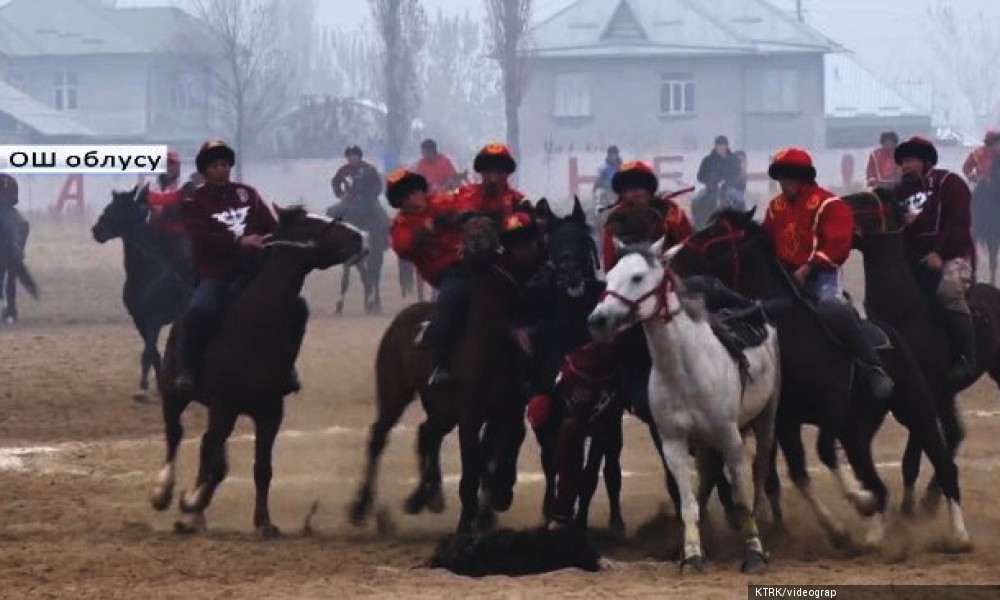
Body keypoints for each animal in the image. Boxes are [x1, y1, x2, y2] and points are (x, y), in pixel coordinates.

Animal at [94, 186, 195, 404]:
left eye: (120, 208)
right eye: (108, 206)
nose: (97, 230)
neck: (149, 272)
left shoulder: (154, 319)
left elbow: (147, 353)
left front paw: (143, 388)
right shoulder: (139, 320)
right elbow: (154, 353)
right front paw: (158, 386)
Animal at [148, 206, 368, 536]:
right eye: (308, 224)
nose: (360, 237)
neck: (255, 325)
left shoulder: (270, 412)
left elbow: (261, 468)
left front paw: (263, 522)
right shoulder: (224, 406)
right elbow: (215, 464)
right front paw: (190, 501)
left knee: (205, 447)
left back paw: (196, 516)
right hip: (176, 396)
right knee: (176, 436)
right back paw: (165, 494)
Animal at [350, 216, 532, 536]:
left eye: (490, 224)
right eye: (468, 226)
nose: (474, 243)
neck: (489, 346)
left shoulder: (504, 413)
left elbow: (494, 459)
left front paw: (491, 506)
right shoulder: (470, 416)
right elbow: (474, 469)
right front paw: (470, 521)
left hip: (442, 409)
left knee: (427, 433)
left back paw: (424, 496)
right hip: (394, 392)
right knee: (379, 436)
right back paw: (363, 507)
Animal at [584, 239, 780, 572]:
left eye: (637, 277)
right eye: (608, 276)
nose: (598, 320)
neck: (685, 369)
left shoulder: (730, 439)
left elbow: (741, 498)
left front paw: (754, 553)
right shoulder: (673, 443)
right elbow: (687, 502)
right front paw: (692, 554)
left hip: (767, 416)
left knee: (758, 472)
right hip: (703, 443)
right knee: (707, 478)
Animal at [840, 191, 1000, 516]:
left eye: (864, 202)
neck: (904, 312)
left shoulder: (922, 393)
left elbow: (912, 457)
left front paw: (906, 510)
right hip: (947, 394)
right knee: (954, 433)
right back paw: (931, 496)